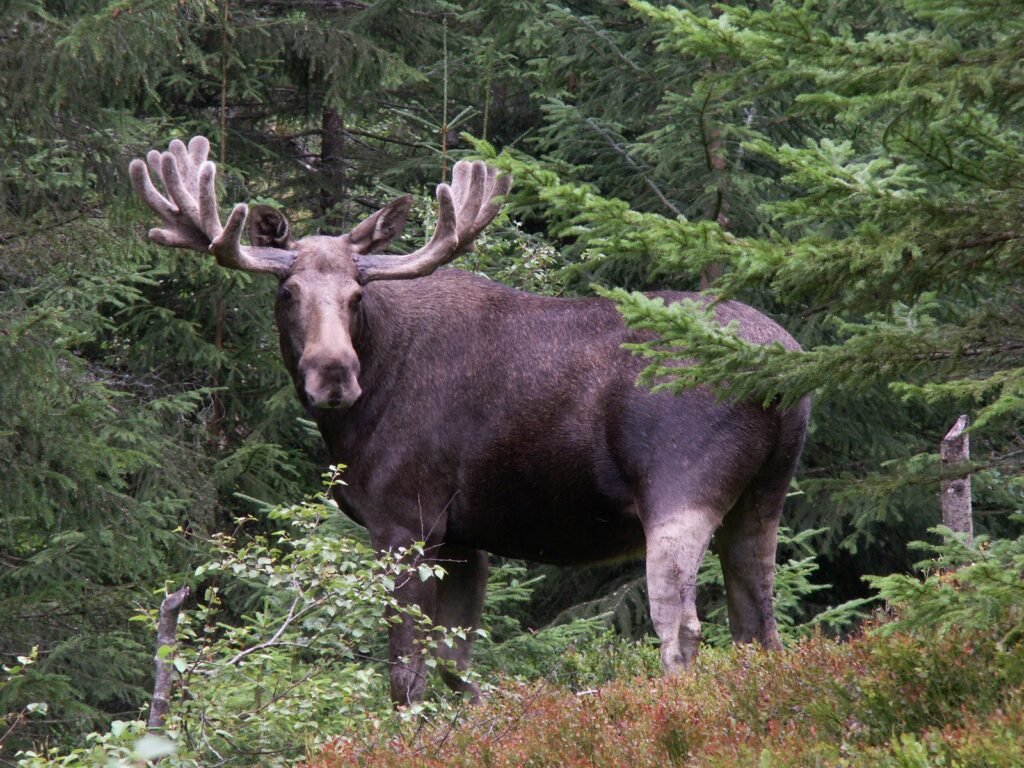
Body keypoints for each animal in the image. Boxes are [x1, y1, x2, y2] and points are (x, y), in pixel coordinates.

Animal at [130, 135, 810, 706]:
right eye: (286, 292)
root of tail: (784, 372)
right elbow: (457, 667)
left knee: (682, 624)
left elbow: (405, 672)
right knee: (760, 621)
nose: (333, 374)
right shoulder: (462, 538)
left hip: (679, 485)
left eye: (357, 296)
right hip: (764, 495)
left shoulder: (406, 519)